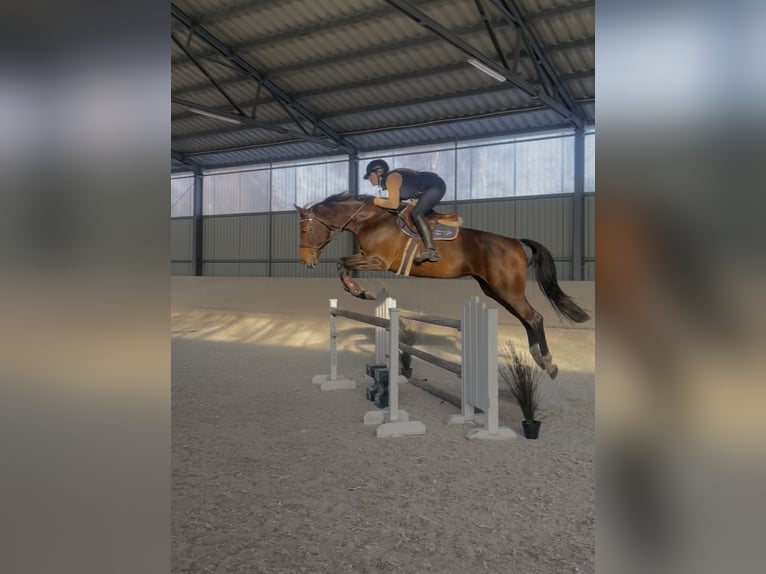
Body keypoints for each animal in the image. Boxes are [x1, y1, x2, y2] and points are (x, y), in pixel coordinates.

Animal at [295, 192, 590, 378]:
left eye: (304, 230)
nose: (307, 261)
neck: (371, 220)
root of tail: (515, 241)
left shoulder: (378, 261)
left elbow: (342, 263)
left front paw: (360, 291)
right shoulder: (370, 259)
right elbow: (342, 265)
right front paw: (358, 291)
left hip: (507, 289)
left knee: (534, 317)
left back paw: (549, 364)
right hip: (496, 291)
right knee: (527, 319)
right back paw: (538, 358)